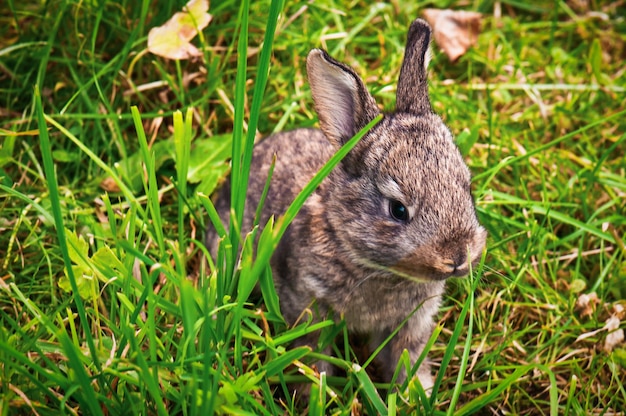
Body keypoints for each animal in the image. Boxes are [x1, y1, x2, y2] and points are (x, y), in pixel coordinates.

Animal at [207, 18, 486, 390]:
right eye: (398, 210)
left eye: (467, 187)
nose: (457, 257)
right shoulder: (308, 307)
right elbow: (311, 357)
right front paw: (315, 394)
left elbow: (407, 359)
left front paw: (417, 392)